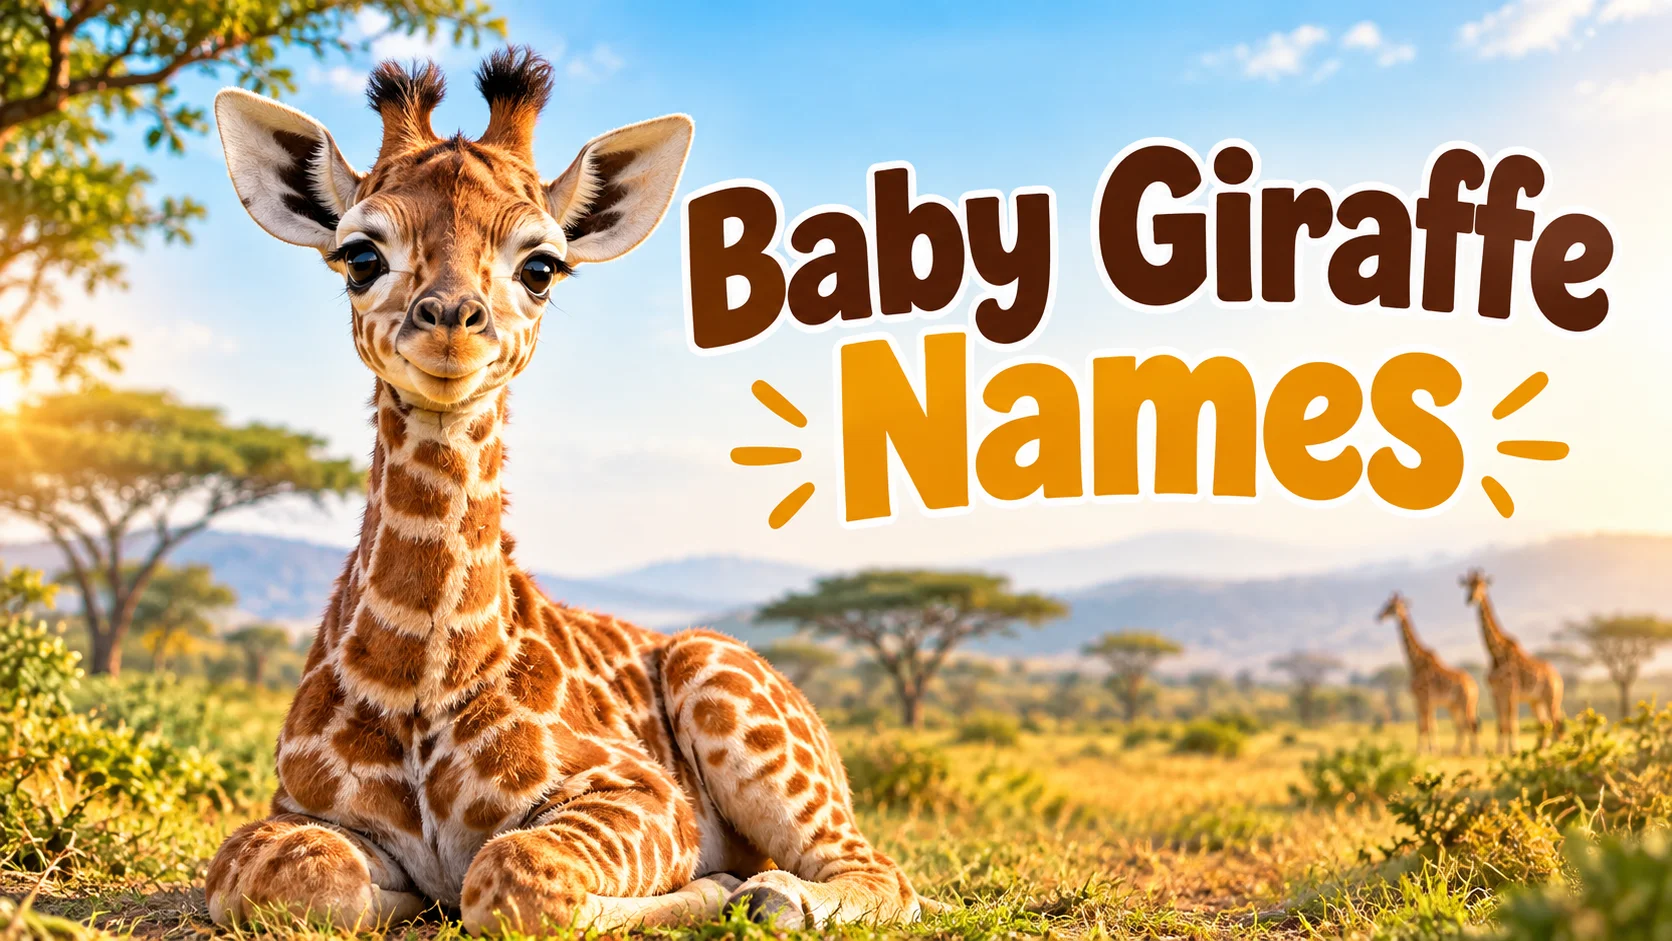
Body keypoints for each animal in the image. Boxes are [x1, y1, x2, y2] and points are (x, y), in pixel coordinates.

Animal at [203, 50, 921, 934]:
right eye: (359, 256)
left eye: (541, 267)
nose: (451, 322)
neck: (419, 680)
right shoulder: (294, 810)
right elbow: (296, 876)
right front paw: (393, 890)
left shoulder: (643, 791)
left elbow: (514, 874)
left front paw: (712, 887)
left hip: (725, 680)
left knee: (881, 874)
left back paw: (771, 893)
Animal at [1377, 592, 1478, 755]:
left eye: (1390, 606)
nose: (1379, 616)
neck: (1414, 662)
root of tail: (1475, 686)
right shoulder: (1423, 701)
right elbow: (1429, 725)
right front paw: (1432, 750)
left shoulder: (1423, 699)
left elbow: (1424, 726)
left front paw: (1424, 751)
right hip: (1455, 705)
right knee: (1462, 726)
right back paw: (1458, 750)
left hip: (1465, 703)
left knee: (1469, 724)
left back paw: (1474, 751)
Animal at [1461, 568, 1564, 753]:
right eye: (1469, 585)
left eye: (1481, 586)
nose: (1470, 598)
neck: (1494, 653)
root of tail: (1558, 677)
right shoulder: (1495, 693)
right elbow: (1501, 725)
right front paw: (1499, 751)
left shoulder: (1511, 692)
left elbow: (1512, 724)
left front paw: (1513, 750)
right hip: (1535, 701)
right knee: (1545, 723)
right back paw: (1544, 749)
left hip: (1551, 697)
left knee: (1556, 722)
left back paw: (1560, 749)